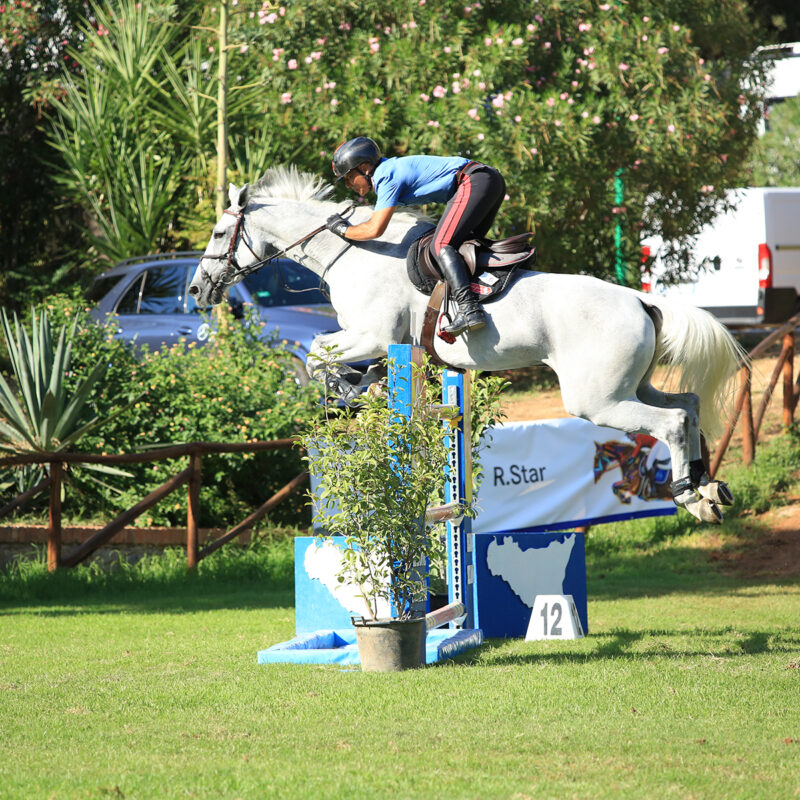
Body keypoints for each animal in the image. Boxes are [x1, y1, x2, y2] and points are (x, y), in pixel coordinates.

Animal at [189, 166, 744, 520]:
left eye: (218, 233)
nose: (196, 291)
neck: (351, 253)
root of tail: (639, 299)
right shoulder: (381, 342)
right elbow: (331, 358)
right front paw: (366, 387)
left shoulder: (371, 335)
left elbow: (315, 354)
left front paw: (349, 391)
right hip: (633, 385)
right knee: (687, 405)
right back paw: (706, 488)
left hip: (598, 399)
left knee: (669, 423)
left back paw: (688, 496)